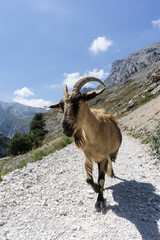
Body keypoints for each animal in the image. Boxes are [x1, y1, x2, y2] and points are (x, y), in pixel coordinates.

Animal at [45, 77, 122, 212]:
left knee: (110, 163)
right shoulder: (88, 157)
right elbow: (89, 179)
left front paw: (99, 202)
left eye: (80, 100)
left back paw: (111, 173)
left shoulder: (103, 157)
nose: (66, 127)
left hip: (110, 153)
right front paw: (95, 188)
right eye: (61, 105)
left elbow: (101, 180)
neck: (95, 135)